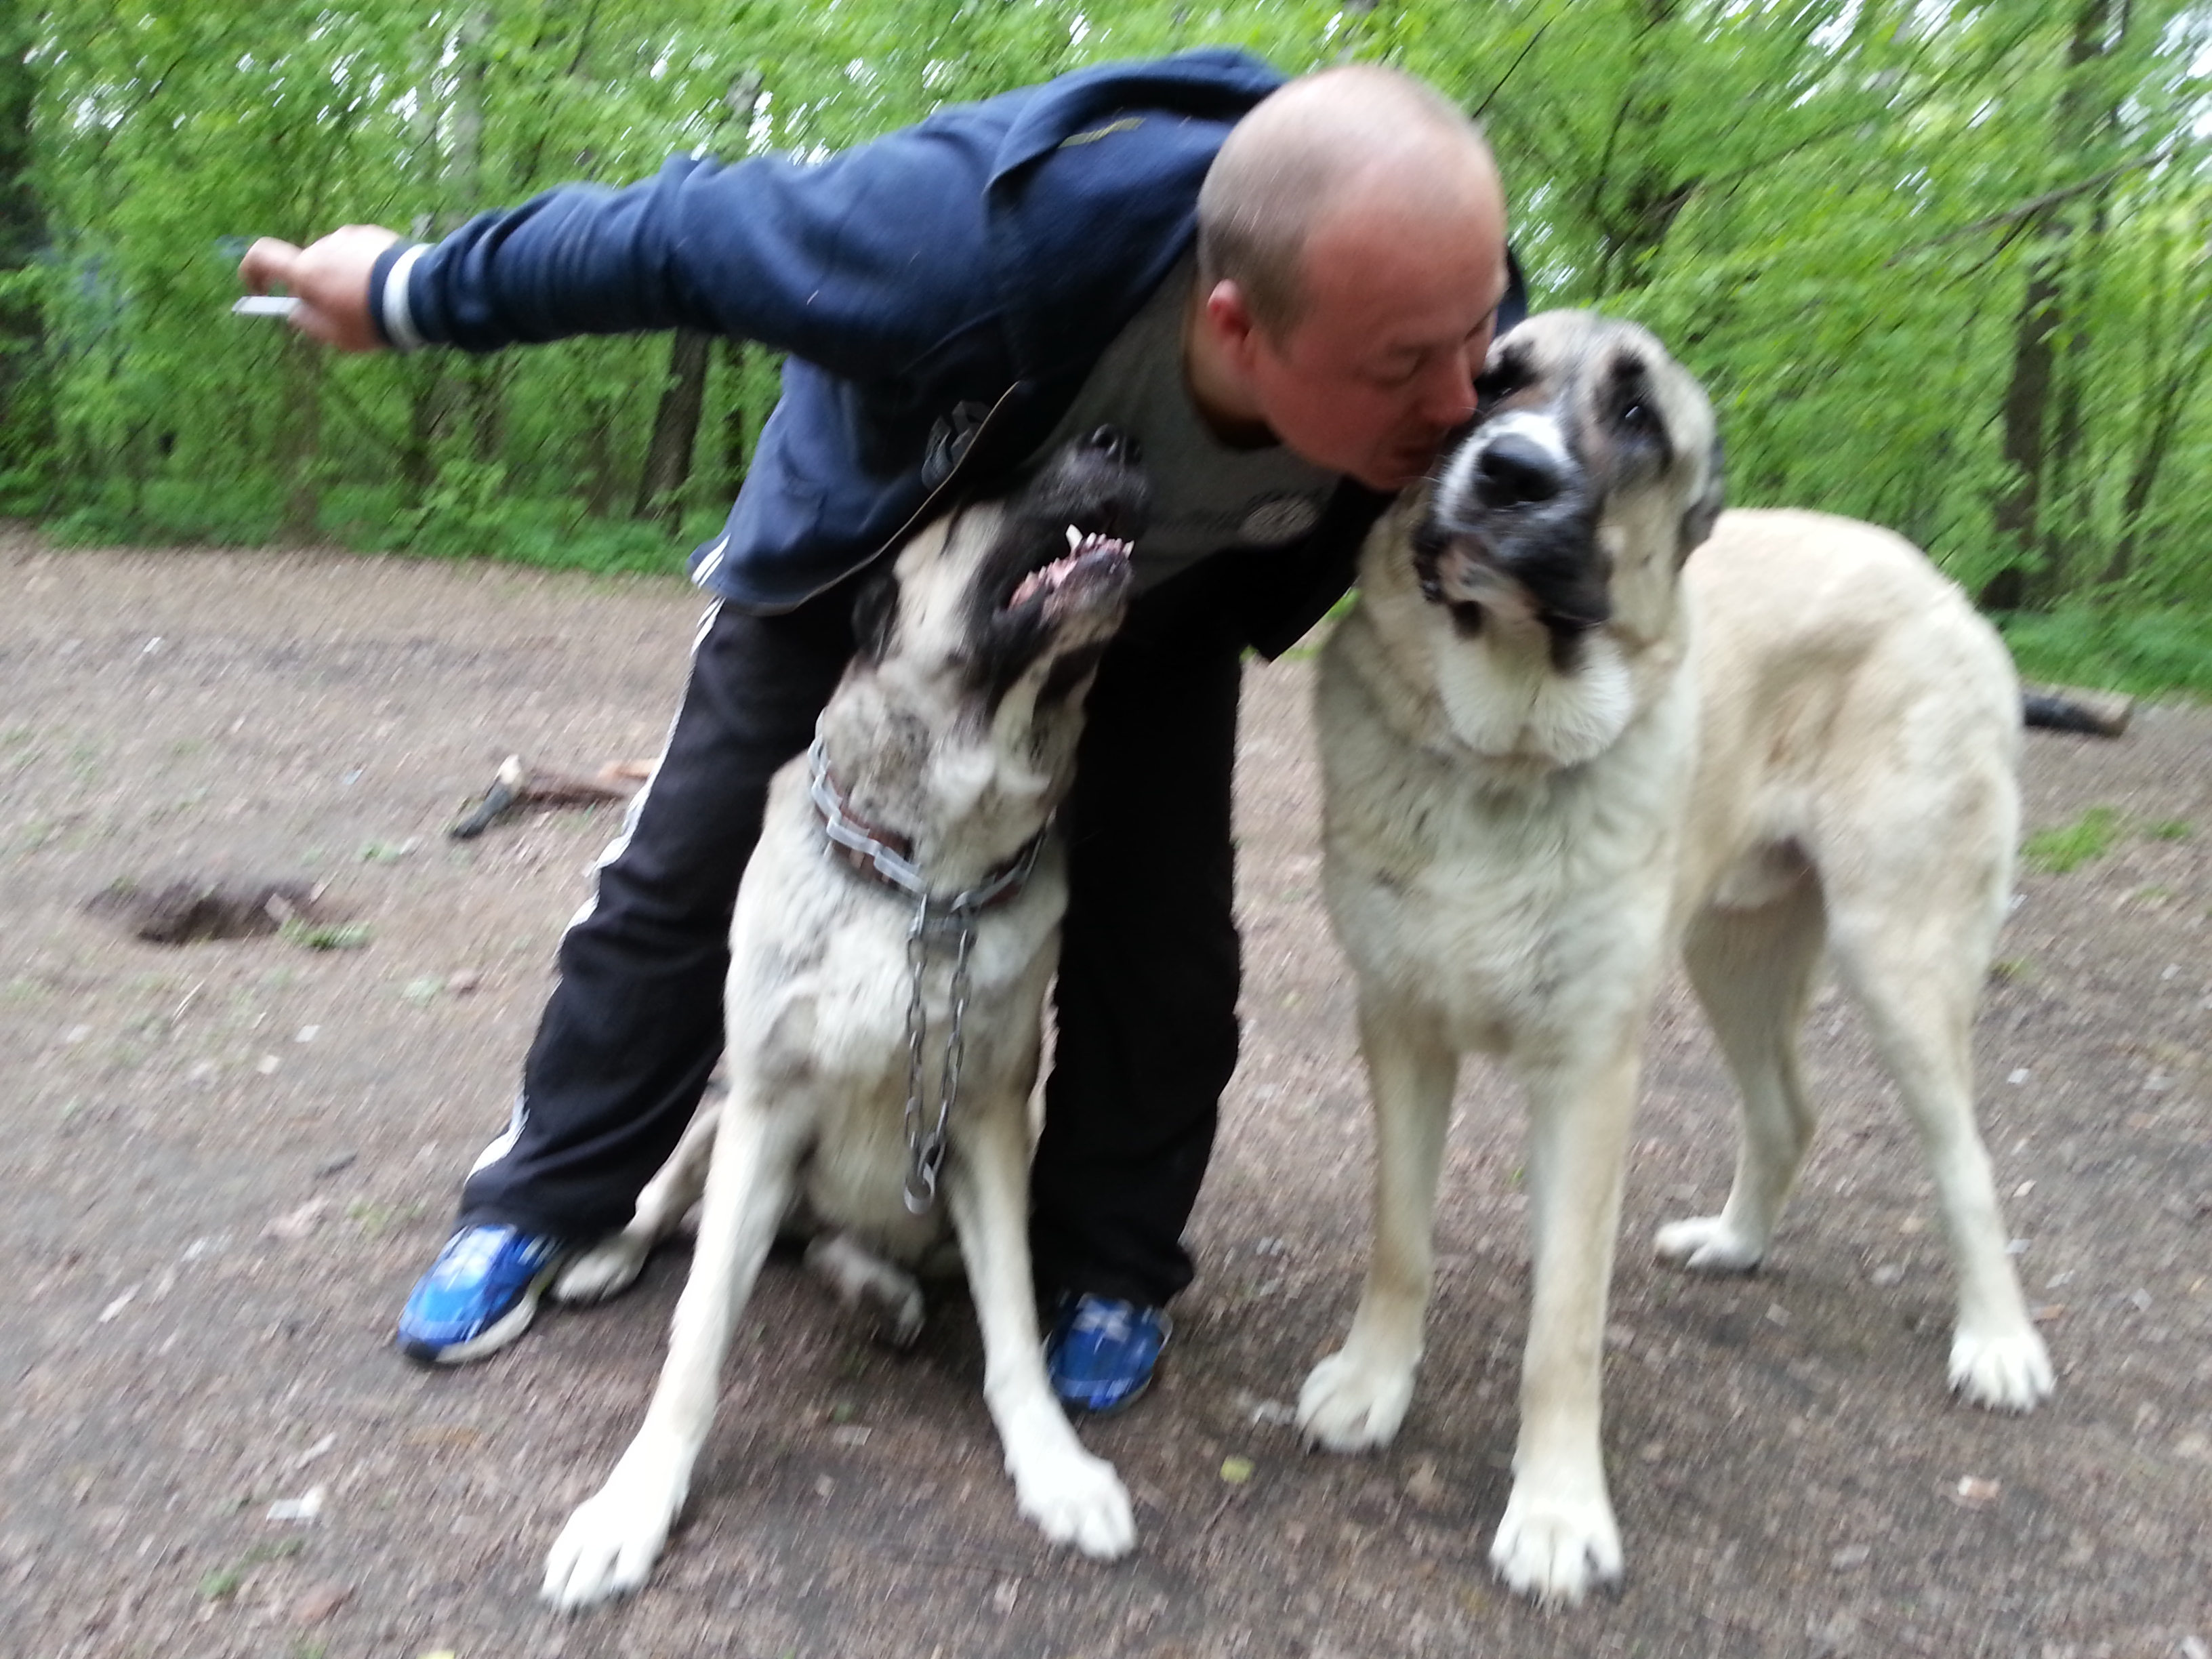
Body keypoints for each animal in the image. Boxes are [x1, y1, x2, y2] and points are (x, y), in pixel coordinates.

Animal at [539, 427, 1150, 1610]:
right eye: (994, 485)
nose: (1115, 440)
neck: (923, 882)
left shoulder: (990, 1128)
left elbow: (1013, 1331)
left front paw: (1054, 1467)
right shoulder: (766, 1108)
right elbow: (696, 1337)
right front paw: (633, 1504)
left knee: (854, 1250)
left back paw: (878, 1291)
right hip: (719, 1117)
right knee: (665, 1193)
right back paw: (604, 1252)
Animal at [1296, 311, 2054, 1605]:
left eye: (1638, 418)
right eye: (1488, 380)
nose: (1509, 471)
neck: (1503, 750)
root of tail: (1939, 585)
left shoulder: (1589, 1071)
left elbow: (1563, 1325)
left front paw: (1556, 1511)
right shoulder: (1397, 1024)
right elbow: (1399, 1237)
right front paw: (1371, 1382)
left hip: (1895, 955)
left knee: (1966, 1162)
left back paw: (1995, 1339)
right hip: (1729, 955)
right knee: (1788, 1109)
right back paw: (1737, 1243)